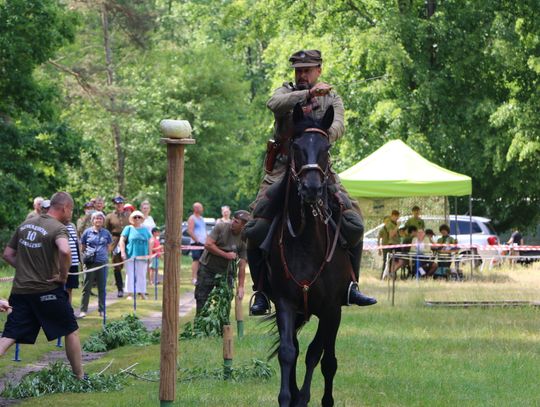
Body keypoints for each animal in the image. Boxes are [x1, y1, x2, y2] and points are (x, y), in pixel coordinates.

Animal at [268, 103, 352, 406]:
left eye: (326, 147)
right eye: (296, 146)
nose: (312, 188)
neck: (306, 244)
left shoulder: (331, 309)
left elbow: (317, 355)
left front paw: (304, 397)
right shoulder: (285, 303)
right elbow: (287, 352)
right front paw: (287, 397)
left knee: (329, 359)